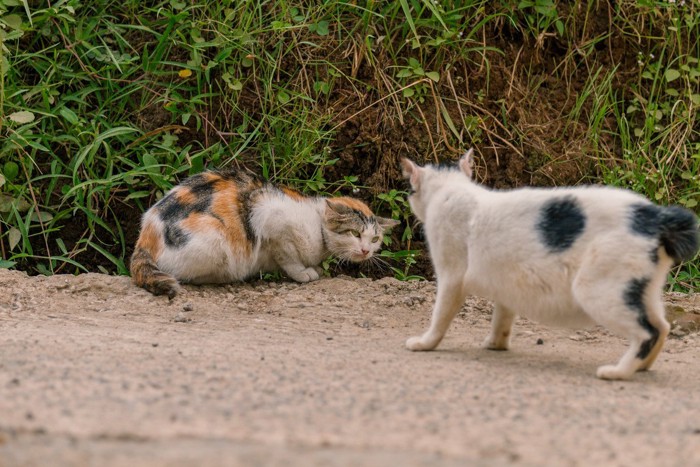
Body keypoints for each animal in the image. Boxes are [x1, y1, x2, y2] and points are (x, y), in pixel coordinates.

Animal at [129, 170, 396, 298]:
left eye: (375, 239)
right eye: (354, 233)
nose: (366, 250)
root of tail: (145, 237)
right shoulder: (270, 216)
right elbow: (287, 256)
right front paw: (304, 273)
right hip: (214, 242)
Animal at [402, 152, 696, 382]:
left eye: (411, 190)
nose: (409, 198)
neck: (450, 190)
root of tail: (657, 217)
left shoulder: (451, 276)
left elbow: (440, 315)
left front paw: (425, 343)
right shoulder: (506, 283)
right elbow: (502, 318)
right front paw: (495, 344)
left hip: (599, 290)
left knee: (648, 332)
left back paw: (618, 372)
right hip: (642, 290)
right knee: (662, 326)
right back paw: (643, 368)